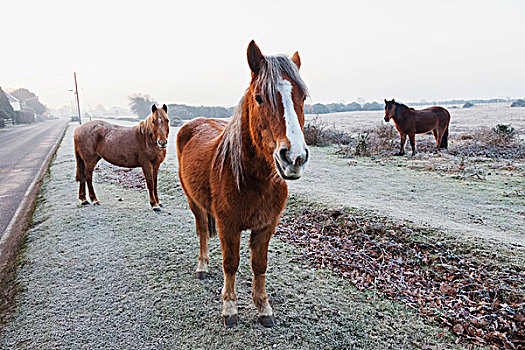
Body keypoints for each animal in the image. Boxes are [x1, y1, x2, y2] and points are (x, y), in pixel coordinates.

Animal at [177, 41, 308, 328]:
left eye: (302, 98)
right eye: (259, 97)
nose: (294, 157)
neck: (252, 180)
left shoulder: (266, 226)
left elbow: (259, 265)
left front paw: (263, 307)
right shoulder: (228, 225)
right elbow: (231, 263)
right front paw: (229, 308)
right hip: (194, 203)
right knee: (202, 231)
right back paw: (202, 267)